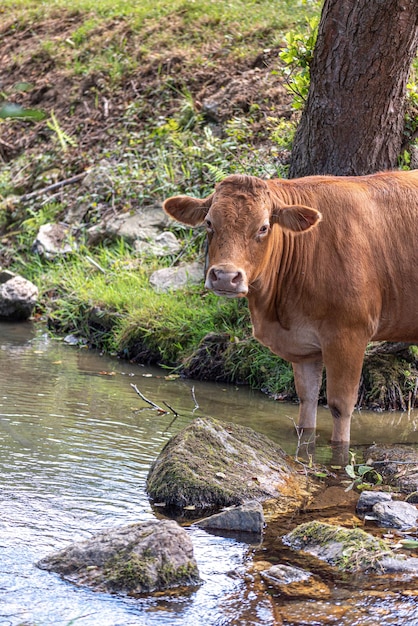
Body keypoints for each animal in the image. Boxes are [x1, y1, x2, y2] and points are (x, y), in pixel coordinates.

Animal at [162, 169, 418, 444]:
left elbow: (340, 406)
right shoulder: (304, 345)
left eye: (263, 227)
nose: (225, 276)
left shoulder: (350, 333)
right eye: (209, 222)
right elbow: (307, 402)